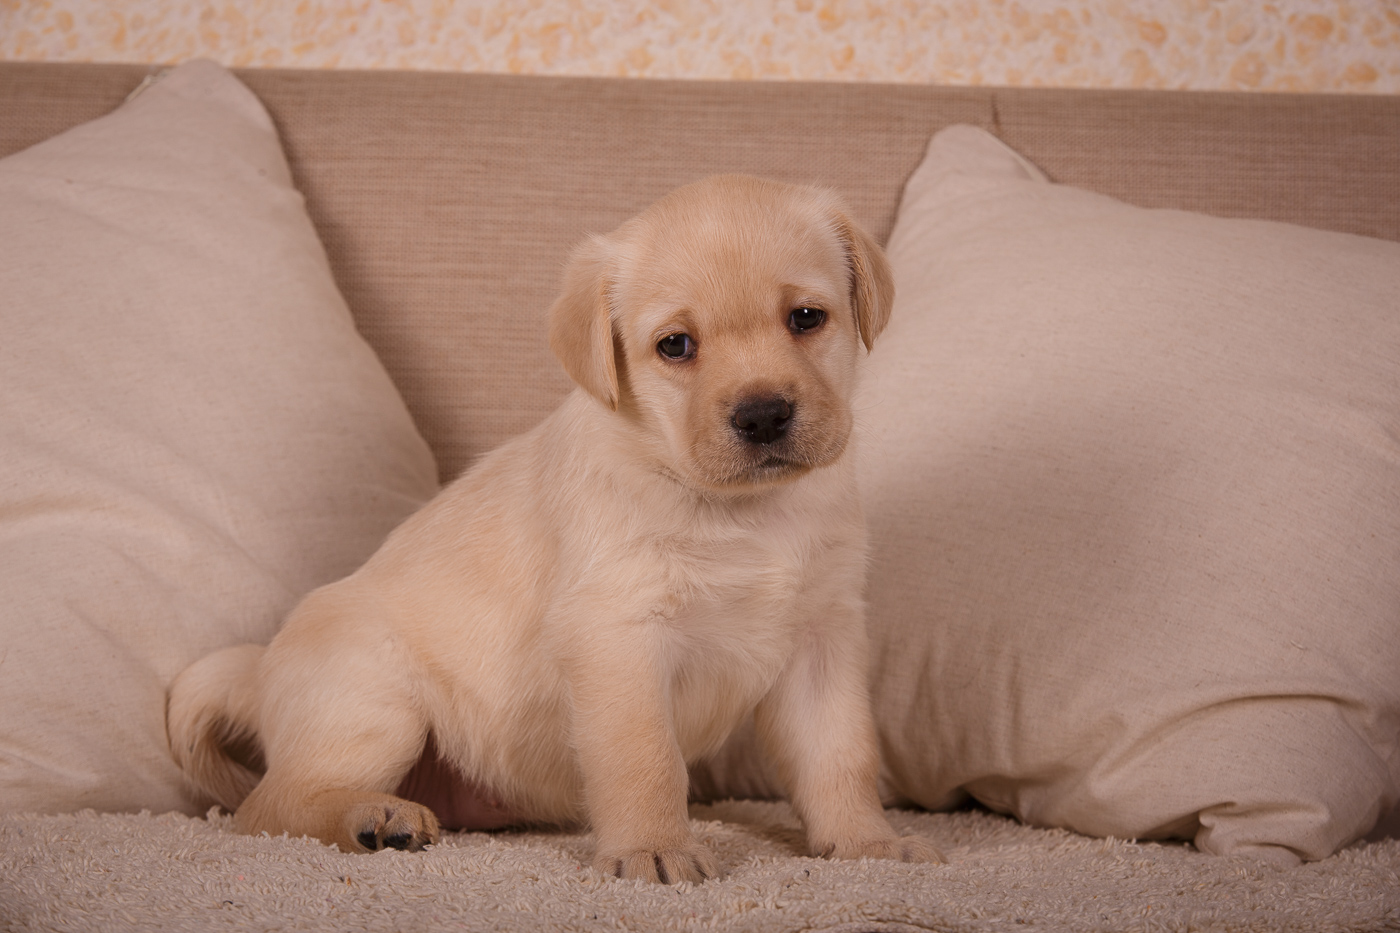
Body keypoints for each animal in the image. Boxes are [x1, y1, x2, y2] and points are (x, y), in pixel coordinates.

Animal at [172, 172, 940, 879]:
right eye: (676, 345)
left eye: (806, 317)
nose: (762, 415)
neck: (742, 510)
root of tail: (259, 670)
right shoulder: (619, 635)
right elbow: (645, 759)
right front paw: (653, 848)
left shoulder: (822, 639)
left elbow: (840, 754)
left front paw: (864, 840)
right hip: (375, 704)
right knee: (266, 806)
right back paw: (375, 817)